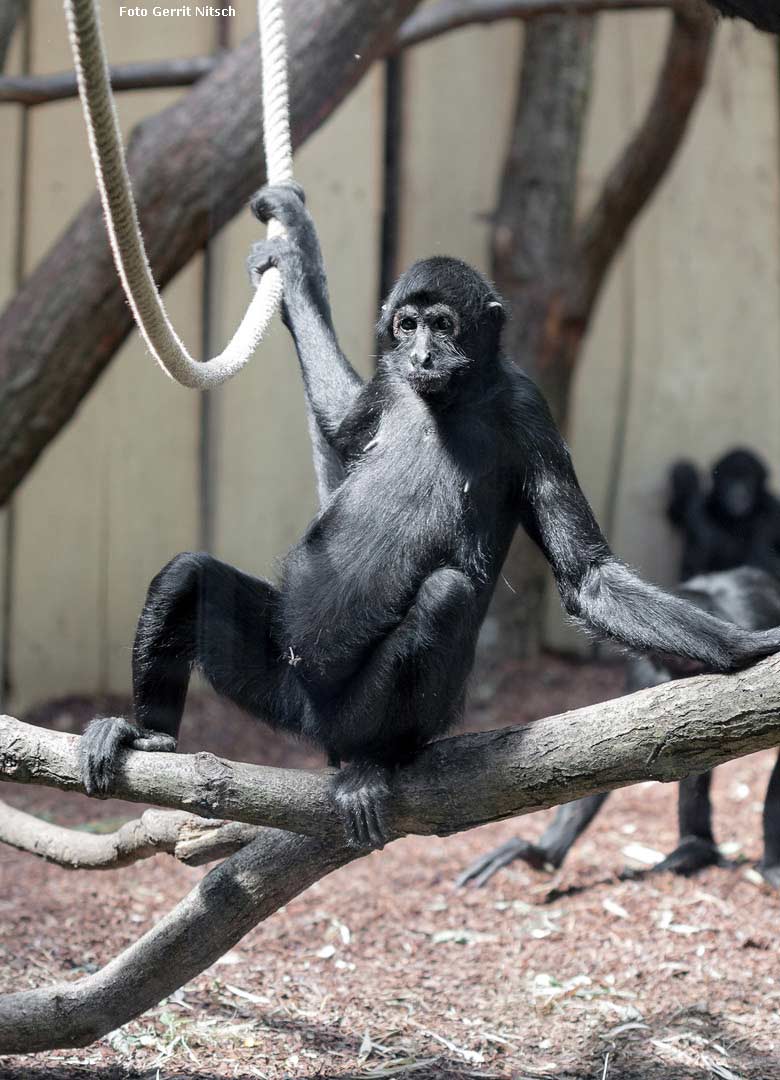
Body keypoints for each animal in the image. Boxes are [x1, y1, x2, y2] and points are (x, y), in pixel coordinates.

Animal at [77, 187, 777, 851]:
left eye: (442, 326)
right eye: (407, 325)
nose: (420, 354)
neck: (446, 400)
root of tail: (315, 722)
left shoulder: (529, 411)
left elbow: (587, 578)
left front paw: (744, 647)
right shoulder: (390, 387)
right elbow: (339, 421)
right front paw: (295, 257)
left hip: (359, 709)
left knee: (444, 594)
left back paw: (372, 763)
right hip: (281, 677)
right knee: (187, 575)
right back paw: (150, 738)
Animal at [458, 565, 777, 885]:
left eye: (685, 659)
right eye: (667, 657)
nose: (676, 669)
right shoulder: (644, 672)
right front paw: (542, 853)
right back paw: (695, 848)